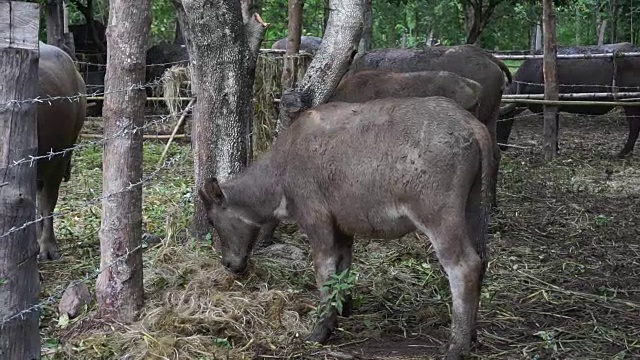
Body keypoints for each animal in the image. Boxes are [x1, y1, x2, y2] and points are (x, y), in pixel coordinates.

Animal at [200, 96, 496, 360]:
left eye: (213, 220)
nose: (229, 263)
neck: (279, 177)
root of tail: (473, 126)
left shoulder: (316, 220)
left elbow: (325, 273)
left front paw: (320, 331)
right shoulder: (342, 228)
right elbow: (343, 268)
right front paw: (342, 311)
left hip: (438, 217)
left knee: (464, 266)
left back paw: (457, 346)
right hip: (473, 210)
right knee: (482, 260)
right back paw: (471, 335)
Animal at [500, 42, 640, 158]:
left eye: (502, 119)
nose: (501, 146)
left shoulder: (552, 108)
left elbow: (554, 130)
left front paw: (555, 150)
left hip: (630, 102)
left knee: (634, 126)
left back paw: (622, 153)